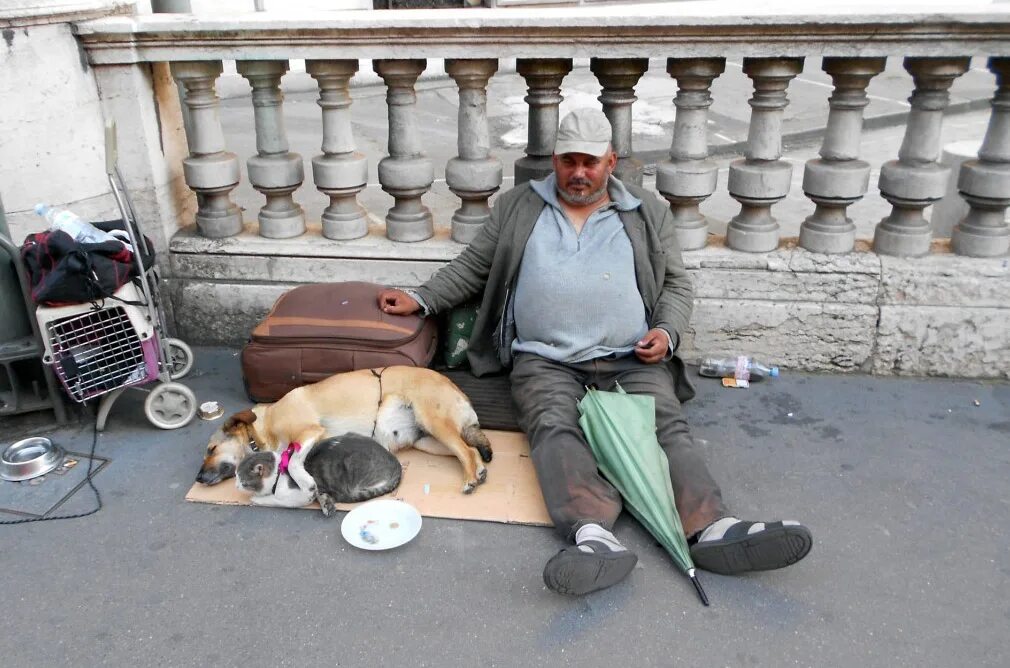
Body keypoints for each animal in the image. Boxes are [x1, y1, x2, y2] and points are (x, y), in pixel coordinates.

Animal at [195, 367, 492, 493]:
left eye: (211, 449)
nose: (197, 478)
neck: (263, 430)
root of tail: (458, 390)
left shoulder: (309, 432)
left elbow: (294, 461)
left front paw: (305, 481)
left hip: (434, 421)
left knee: (466, 451)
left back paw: (469, 479)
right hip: (428, 441)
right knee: (471, 451)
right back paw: (477, 472)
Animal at [238, 432, 404, 515]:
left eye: (243, 482)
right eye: (236, 475)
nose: (236, 486)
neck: (278, 473)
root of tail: (397, 465)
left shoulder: (299, 497)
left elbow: (274, 500)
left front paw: (256, 499)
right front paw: (326, 503)